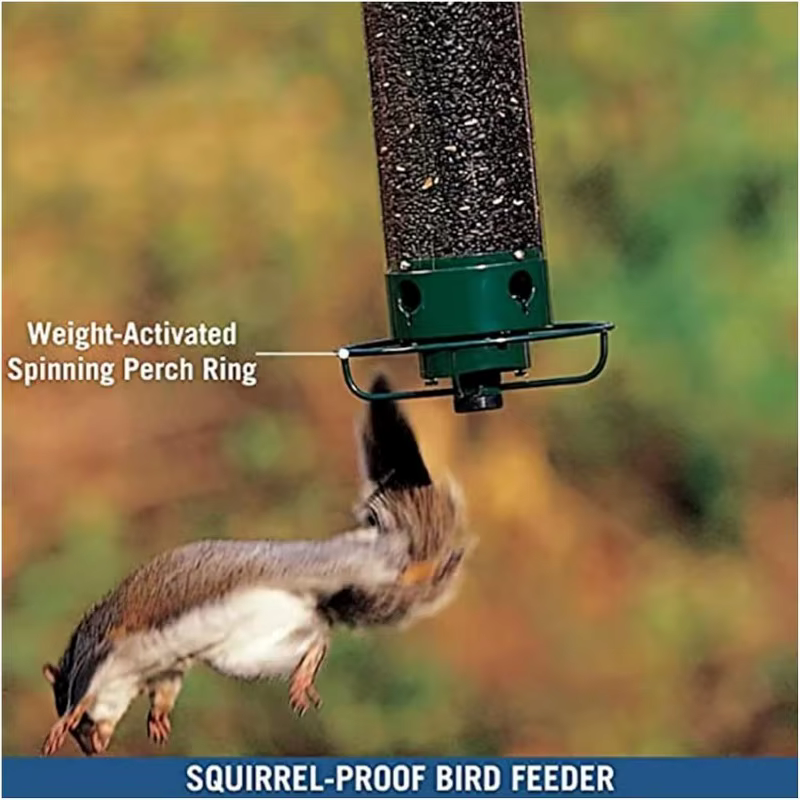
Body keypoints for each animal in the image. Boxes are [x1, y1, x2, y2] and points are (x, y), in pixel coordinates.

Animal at [41, 375, 472, 756]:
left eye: (82, 726)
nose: (93, 749)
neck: (130, 674)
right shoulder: (165, 671)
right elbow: (165, 692)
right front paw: (158, 719)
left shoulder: (105, 649)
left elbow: (85, 691)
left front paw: (66, 720)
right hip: (249, 653)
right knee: (319, 634)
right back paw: (304, 672)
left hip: (338, 570)